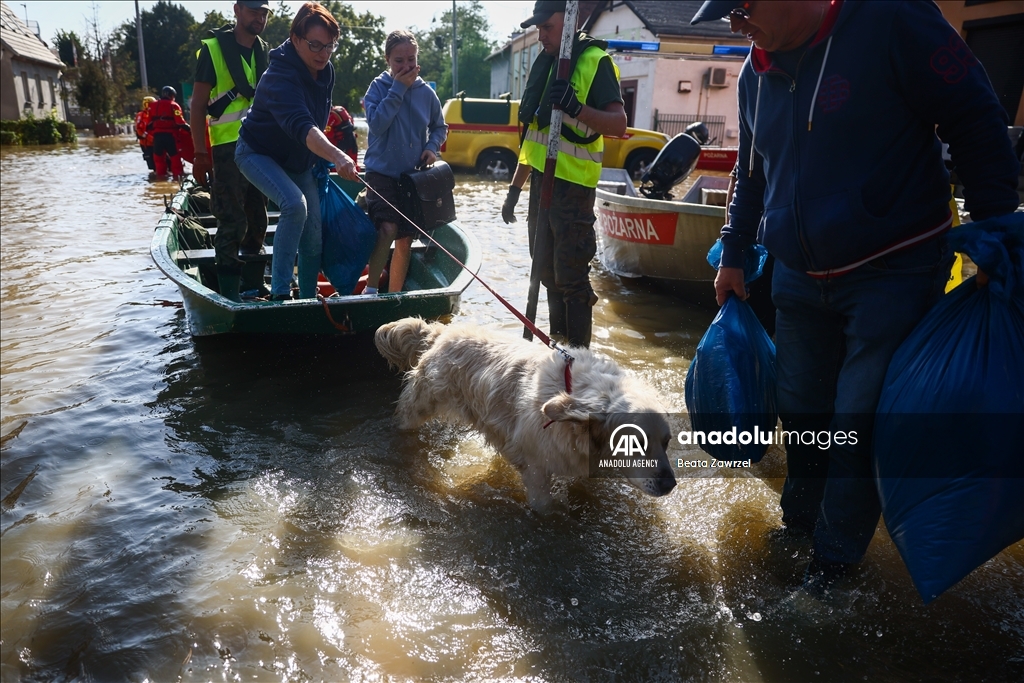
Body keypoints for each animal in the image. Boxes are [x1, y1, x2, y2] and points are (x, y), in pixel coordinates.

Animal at [376, 317, 679, 509]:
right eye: (634, 443)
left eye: (666, 442)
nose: (670, 485)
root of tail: (440, 334)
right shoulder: (536, 470)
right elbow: (544, 506)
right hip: (419, 406)